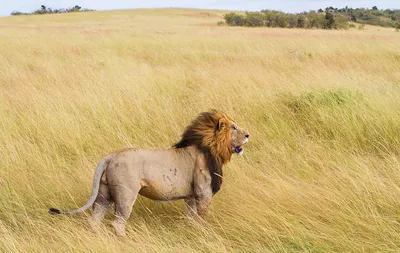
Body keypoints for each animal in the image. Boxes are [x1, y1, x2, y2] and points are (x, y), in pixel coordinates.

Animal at [49, 109, 250, 236]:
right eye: (234, 127)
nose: (248, 135)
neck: (210, 148)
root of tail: (110, 157)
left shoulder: (191, 196)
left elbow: (192, 218)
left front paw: (193, 231)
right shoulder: (203, 193)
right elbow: (202, 218)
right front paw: (204, 233)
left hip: (104, 194)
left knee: (95, 219)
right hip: (126, 194)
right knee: (117, 222)